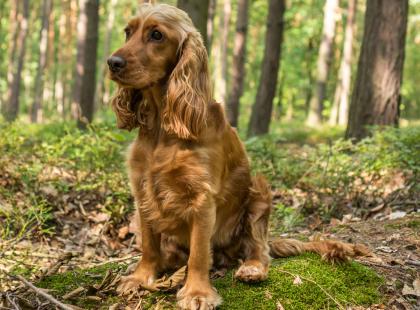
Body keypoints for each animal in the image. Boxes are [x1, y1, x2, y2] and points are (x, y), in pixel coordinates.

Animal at [107, 3, 368, 308]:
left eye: (157, 35)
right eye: (128, 32)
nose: (112, 62)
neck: (163, 126)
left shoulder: (202, 197)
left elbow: (199, 253)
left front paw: (197, 293)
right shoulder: (143, 190)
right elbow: (149, 244)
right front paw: (140, 278)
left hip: (259, 192)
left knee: (259, 248)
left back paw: (251, 268)